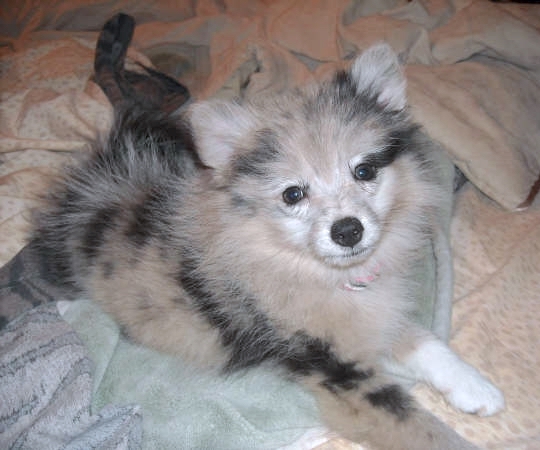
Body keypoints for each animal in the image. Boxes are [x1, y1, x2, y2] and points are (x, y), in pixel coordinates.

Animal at [28, 14, 502, 450]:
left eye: (364, 170)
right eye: (293, 194)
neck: (315, 272)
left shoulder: (364, 324)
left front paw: (474, 386)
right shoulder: (329, 366)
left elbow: (420, 340)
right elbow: (418, 426)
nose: (347, 231)